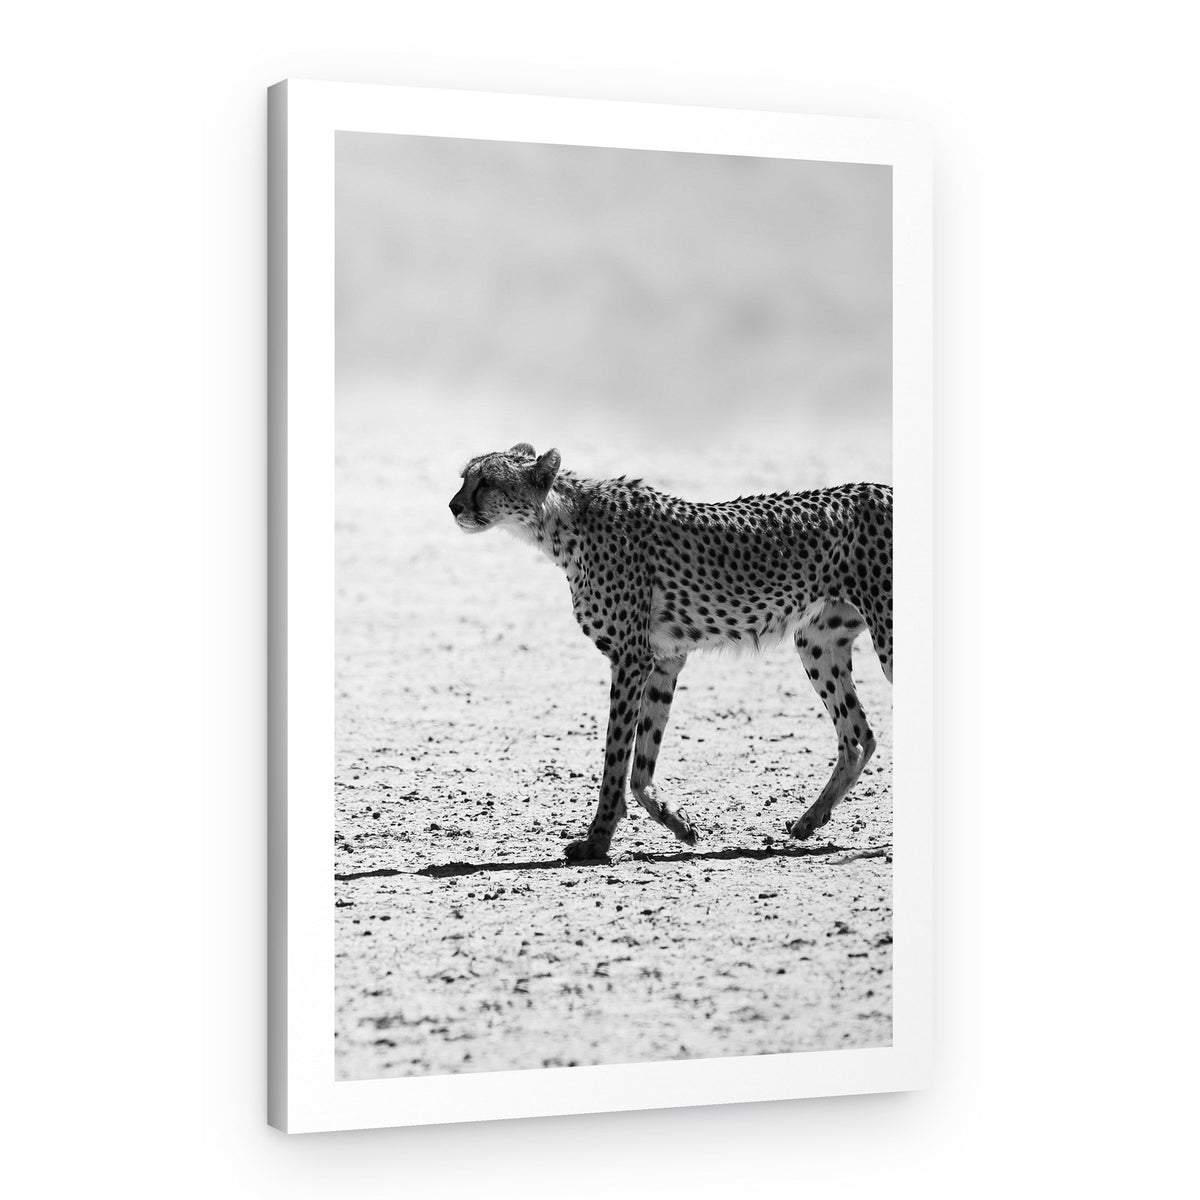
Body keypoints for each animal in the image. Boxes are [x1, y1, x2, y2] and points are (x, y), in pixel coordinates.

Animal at [449, 443, 893, 863]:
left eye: (486, 482)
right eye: (465, 477)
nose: (454, 506)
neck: (562, 523)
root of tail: (882, 487)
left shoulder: (631, 658)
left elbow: (615, 759)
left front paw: (597, 841)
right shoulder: (664, 659)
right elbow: (641, 763)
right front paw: (676, 821)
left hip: (885, 636)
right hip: (817, 641)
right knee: (858, 736)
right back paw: (810, 820)